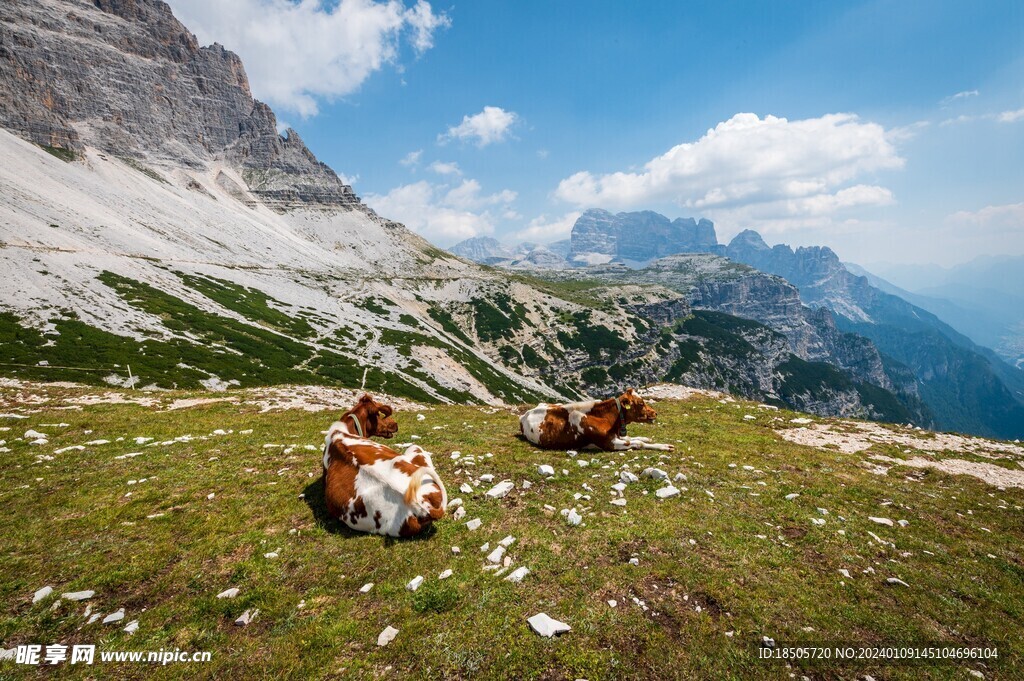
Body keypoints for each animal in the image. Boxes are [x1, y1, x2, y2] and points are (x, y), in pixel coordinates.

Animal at [520, 387, 671, 450]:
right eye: (640, 403)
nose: (655, 413)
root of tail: (525, 414)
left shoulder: (615, 436)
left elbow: (633, 438)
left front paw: (647, 438)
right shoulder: (609, 443)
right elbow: (637, 443)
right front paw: (664, 446)